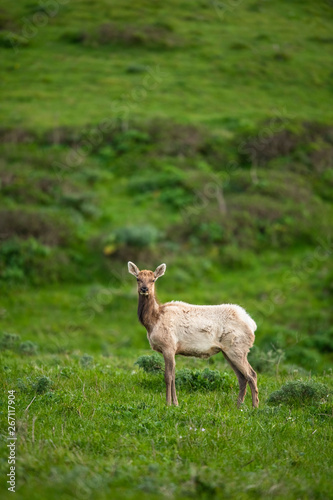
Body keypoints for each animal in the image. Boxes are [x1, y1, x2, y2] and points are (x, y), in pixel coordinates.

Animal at [127, 262, 256, 406]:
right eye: (137, 278)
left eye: (153, 279)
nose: (144, 289)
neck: (153, 322)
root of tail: (252, 324)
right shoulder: (172, 349)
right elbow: (173, 376)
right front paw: (175, 403)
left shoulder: (168, 345)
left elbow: (168, 376)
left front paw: (168, 403)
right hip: (228, 351)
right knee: (242, 377)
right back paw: (239, 405)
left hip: (238, 348)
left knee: (251, 374)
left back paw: (254, 406)